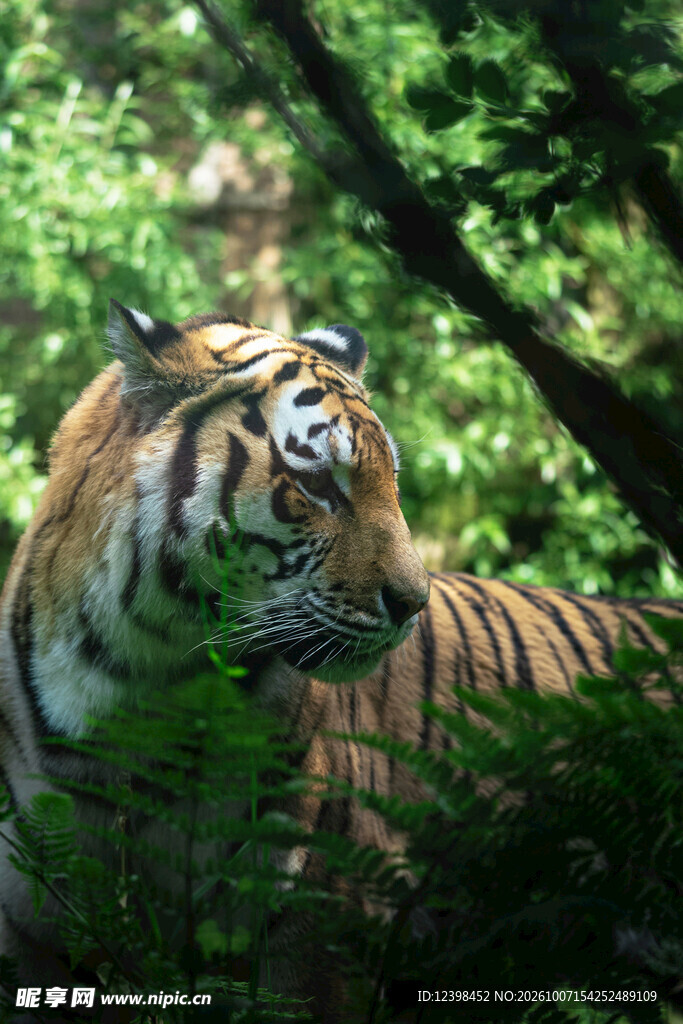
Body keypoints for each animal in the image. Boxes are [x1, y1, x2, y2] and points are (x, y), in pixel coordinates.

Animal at [1, 302, 681, 1019]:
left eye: (393, 482)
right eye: (318, 483)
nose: (413, 603)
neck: (148, 677)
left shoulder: (320, 920)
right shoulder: (34, 914)